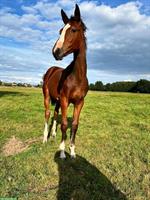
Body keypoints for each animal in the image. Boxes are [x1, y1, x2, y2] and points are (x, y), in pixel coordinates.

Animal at [42, 3, 88, 159]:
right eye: (61, 30)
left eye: (73, 30)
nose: (55, 52)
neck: (77, 77)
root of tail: (51, 69)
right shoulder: (65, 99)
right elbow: (63, 124)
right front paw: (62, 152)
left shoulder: (79, 102)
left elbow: (74, 124)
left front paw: (72, 151)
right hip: (47, 96)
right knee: (48, 114)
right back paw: (45, 138)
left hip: (57, 99)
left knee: (55, 114)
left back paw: (53, 135)